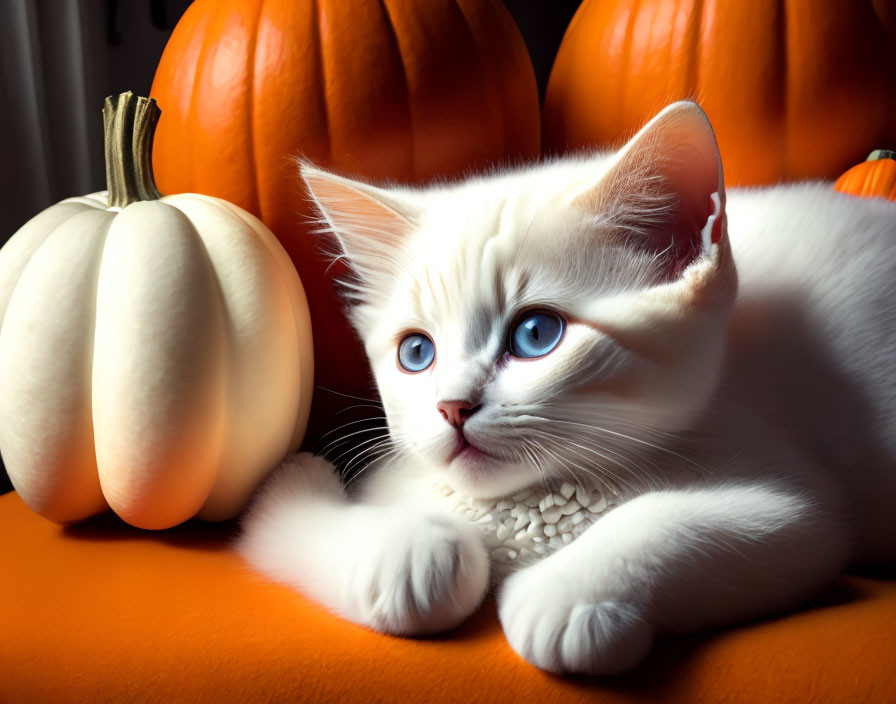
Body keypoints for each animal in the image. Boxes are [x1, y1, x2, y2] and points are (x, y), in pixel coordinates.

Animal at [238, 102, 896, 672]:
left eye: (536, 335)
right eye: (416, 353)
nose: (451, 407)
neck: (523, 514)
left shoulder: (786, 483)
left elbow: (730, 520)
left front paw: (573, 592)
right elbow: (294, 525)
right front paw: (392, 540)